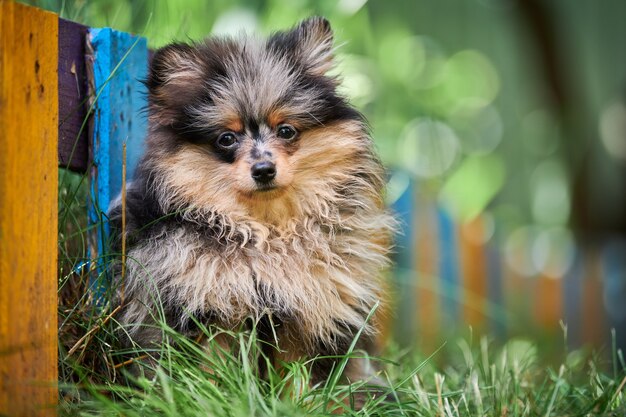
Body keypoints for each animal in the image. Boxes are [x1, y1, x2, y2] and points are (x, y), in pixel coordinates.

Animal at [108, 16, 394, 394]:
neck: (265, 231)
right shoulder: (212, 308)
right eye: (226, 138)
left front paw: (300, 402)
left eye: (286, 130)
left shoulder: (307, 312)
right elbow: (212, 370)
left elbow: (297, 374)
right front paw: (217, 396)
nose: (263, 169)